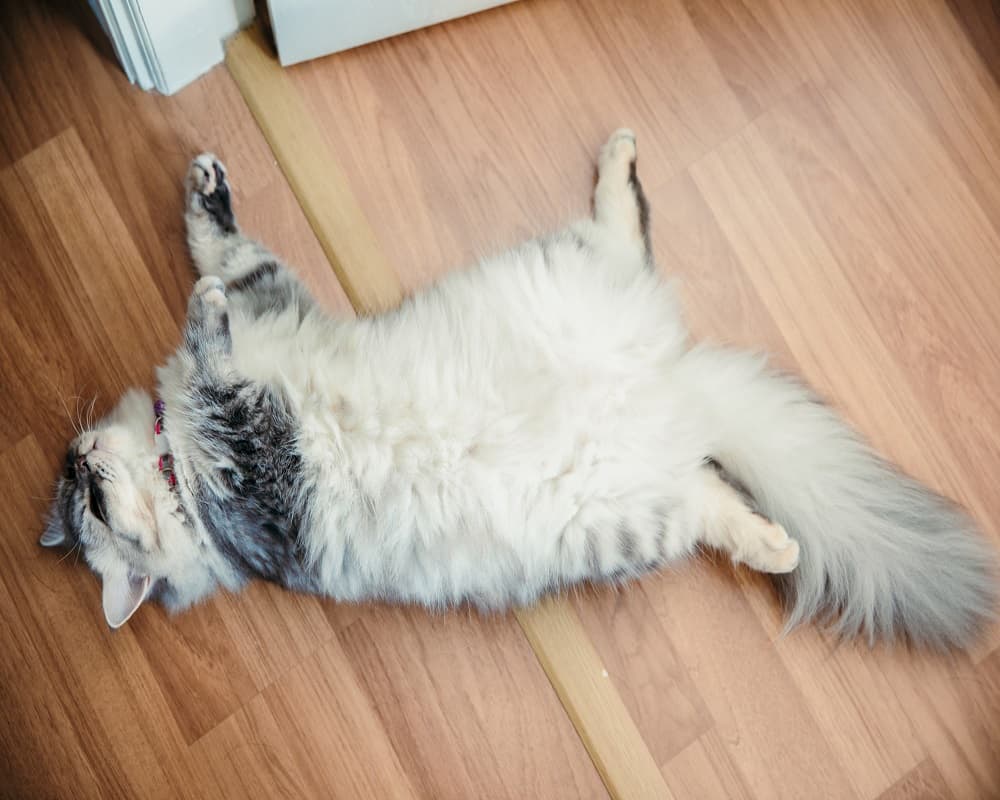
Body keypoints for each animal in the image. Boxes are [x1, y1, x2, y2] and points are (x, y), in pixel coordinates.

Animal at [37, 128, 992, 648]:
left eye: (82, 496)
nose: (74, 456)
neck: (178, 463)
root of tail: (676, 384)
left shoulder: (270, 303)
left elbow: (219, 257)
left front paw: (204, 205)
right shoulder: (263, 469)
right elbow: (214, 365)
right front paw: (200, 324)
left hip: (565, 272)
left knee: (626, 229)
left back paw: (620, 154)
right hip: (634, 520)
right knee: (713, 500)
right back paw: (775, 547)